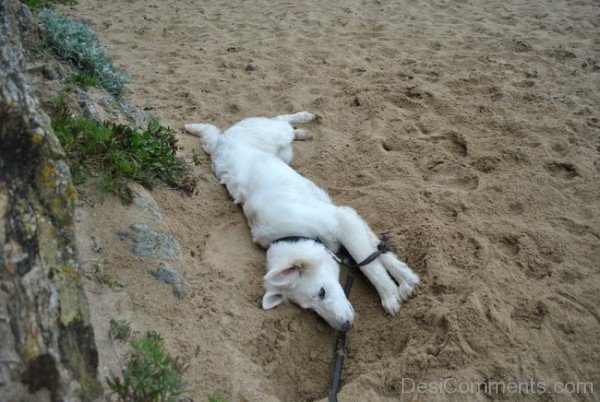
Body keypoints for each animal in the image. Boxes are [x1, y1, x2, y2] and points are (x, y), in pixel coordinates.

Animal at [185, 110, 420, 330]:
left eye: (322, 292)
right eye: (310, 309)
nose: (344, 326)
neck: (294, 233)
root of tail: (221, 140)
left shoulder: (342, 218)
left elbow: (370, 262)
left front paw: (392, 293)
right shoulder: (345, 218)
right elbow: (375, 251)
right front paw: (405, 281)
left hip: (276, 134)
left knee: (280, 119)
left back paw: (304, 119)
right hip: (284, 152)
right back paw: (303, 131)